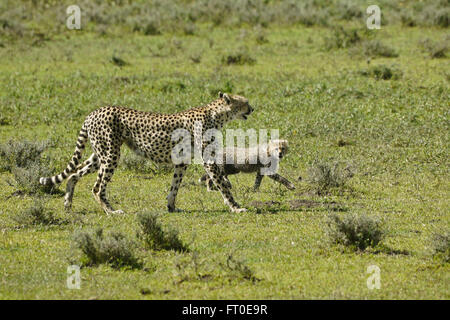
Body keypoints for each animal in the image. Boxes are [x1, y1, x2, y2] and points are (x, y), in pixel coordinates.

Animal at [39, 92, 253, 215]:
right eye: (246, 102)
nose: (253, 108)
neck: (217, 115)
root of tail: (94, 112)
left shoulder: (182, 160)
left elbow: (175, 186)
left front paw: (171, 207)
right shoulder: (207, 159)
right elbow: (223, 185)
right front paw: (236, 207)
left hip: (100, 155)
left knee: (74, 174)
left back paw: (67, 204)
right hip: (111, 155)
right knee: (97, 188)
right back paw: (111, 211)